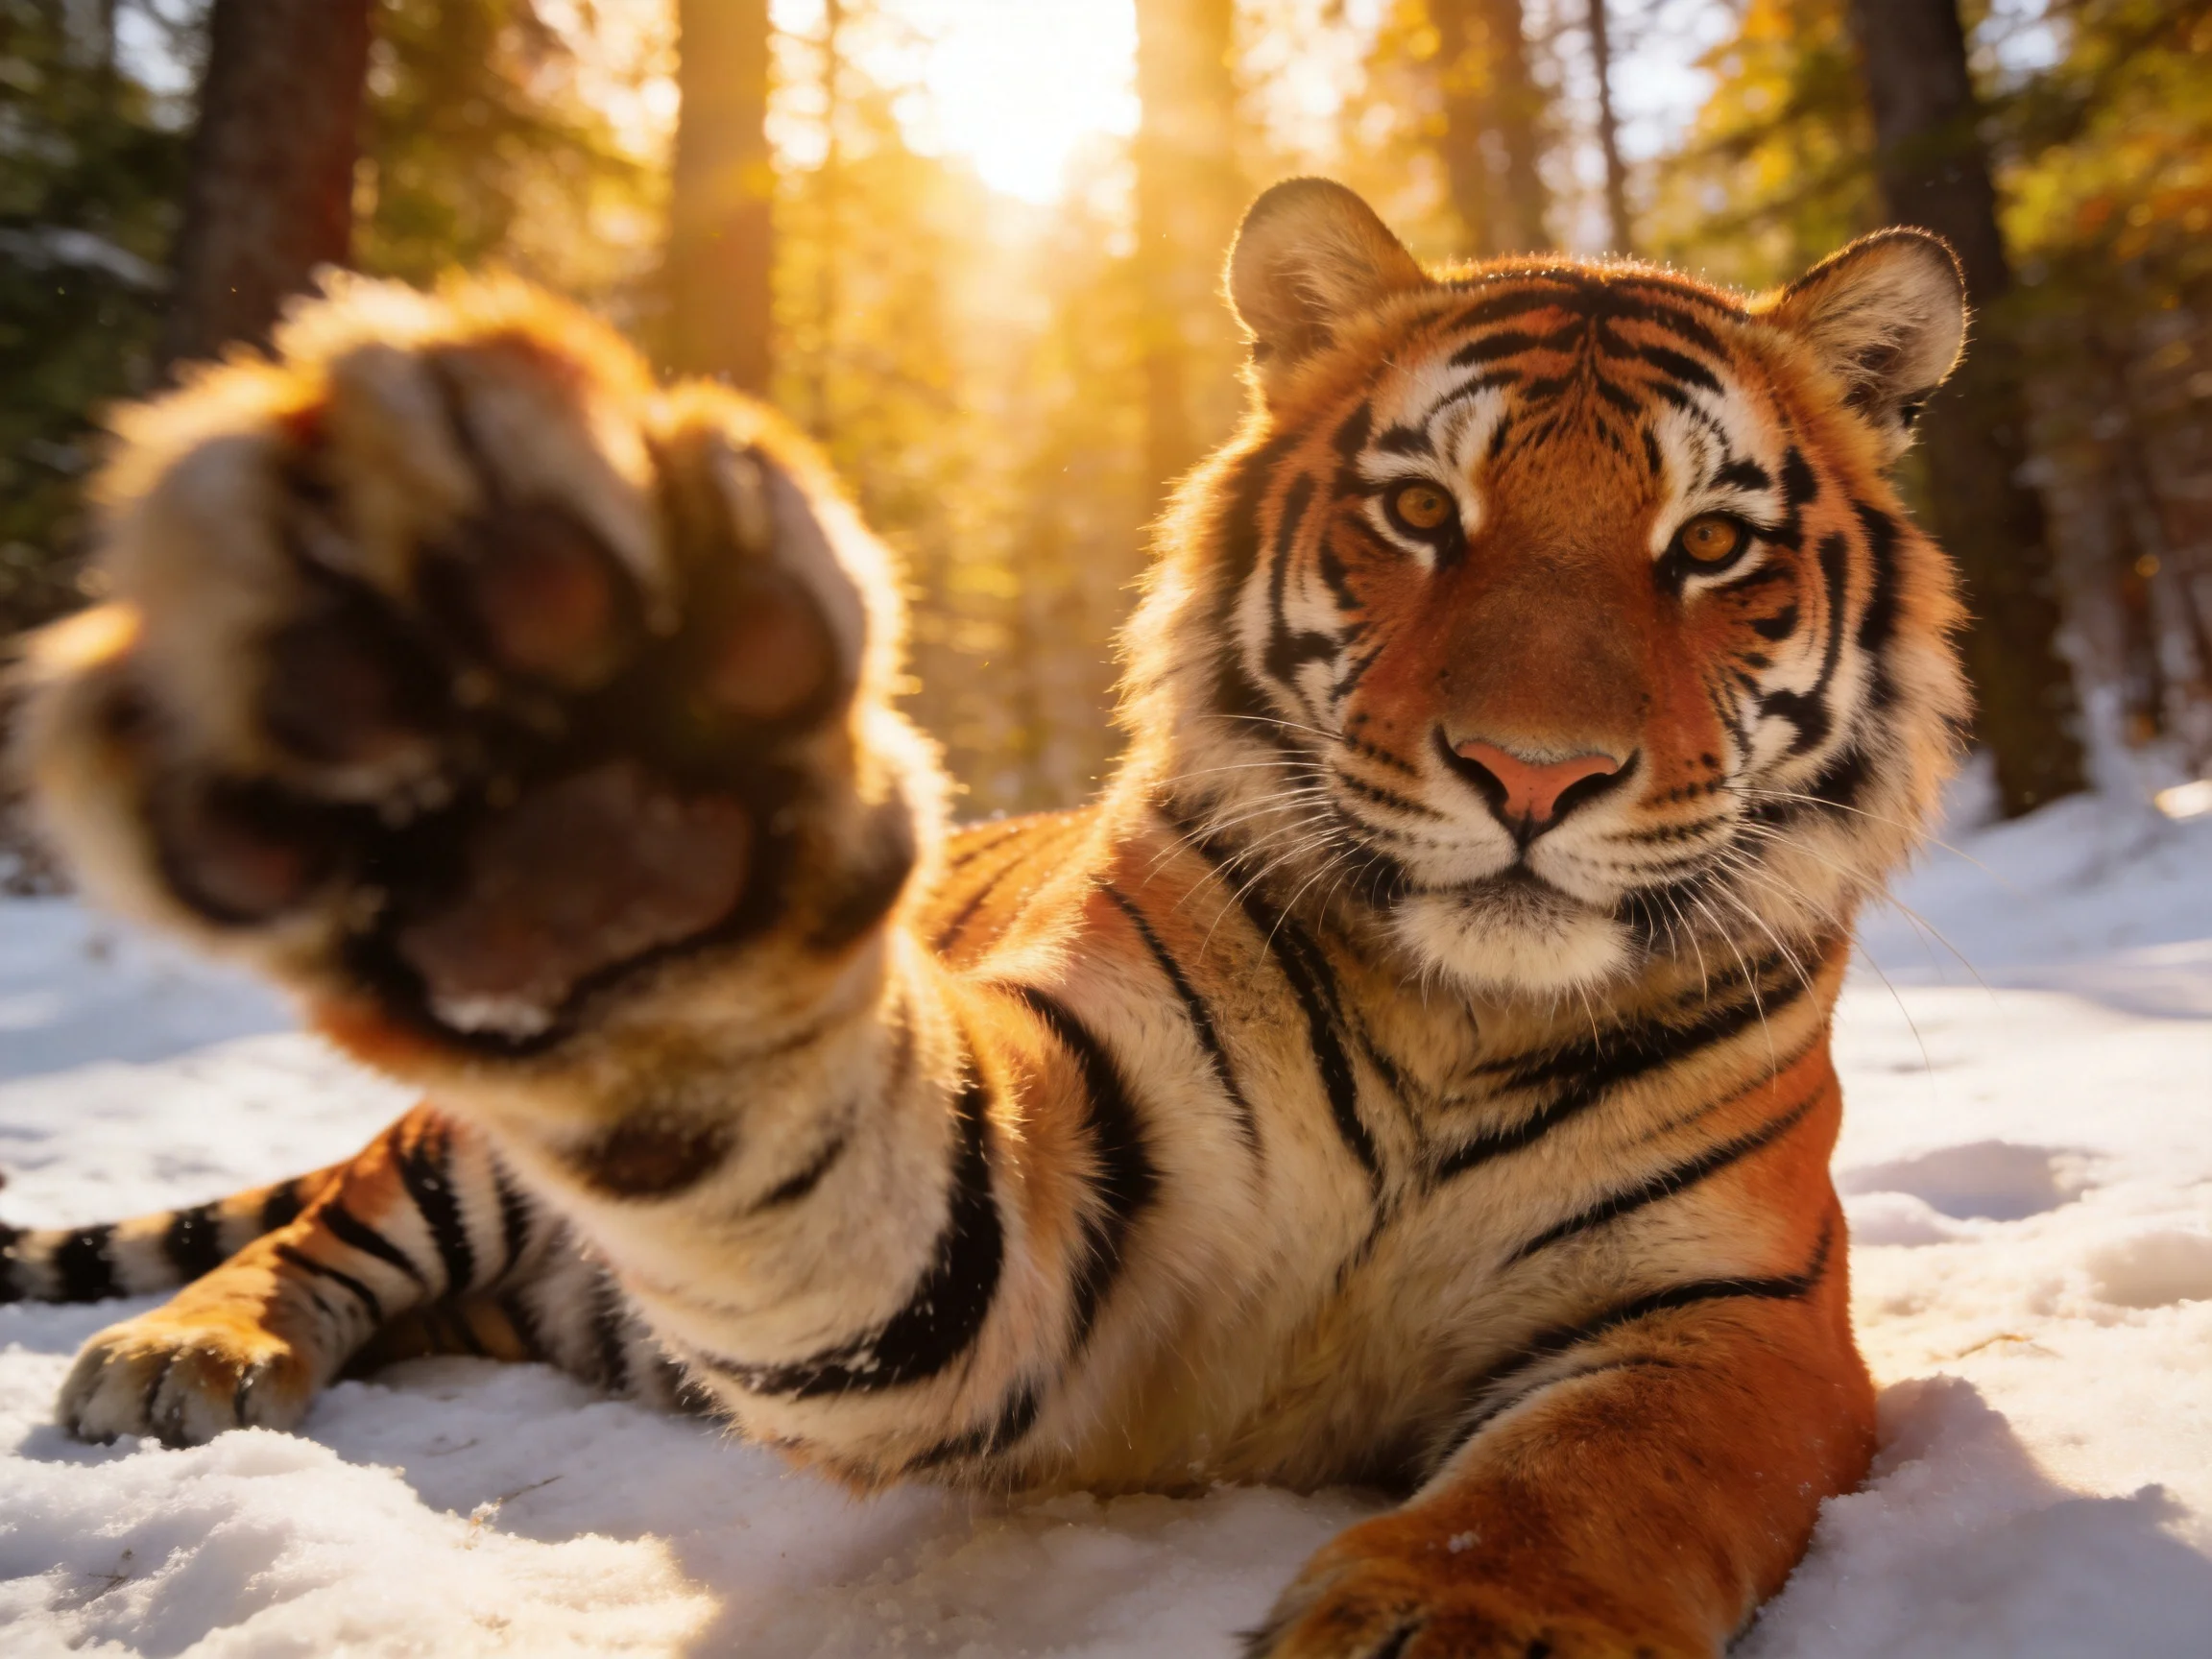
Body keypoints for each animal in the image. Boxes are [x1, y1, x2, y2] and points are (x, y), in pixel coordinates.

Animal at [3, 176, 1972, 1657]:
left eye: (1707, 547)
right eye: (1420, 510)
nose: (1530, 774)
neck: (1459, 1013)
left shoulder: (1739, 1307)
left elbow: (1582, 1476)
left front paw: (1452, 1621)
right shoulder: (1072, 1213)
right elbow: (835, 1169)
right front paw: (595, 777)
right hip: (455, 1154)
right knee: (322, 1227)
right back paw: (183, 1354)